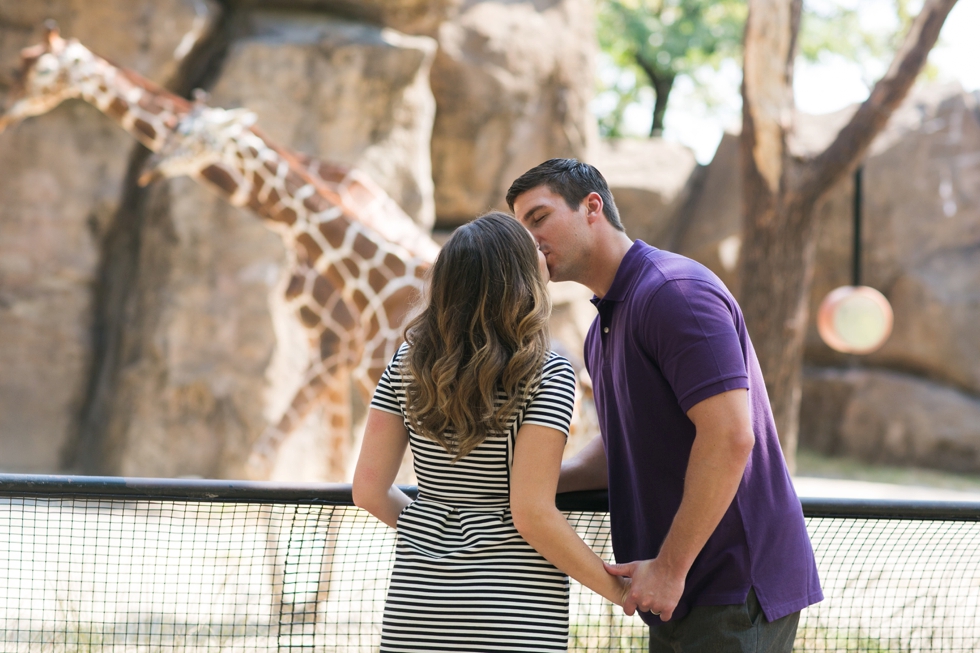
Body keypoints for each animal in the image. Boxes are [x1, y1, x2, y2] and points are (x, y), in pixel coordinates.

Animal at [0, 24, 436, 478]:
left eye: (35, 68)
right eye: (21, 61)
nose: (6, 110)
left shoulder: (337, 344)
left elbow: (273, 459)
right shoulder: (331, 346)